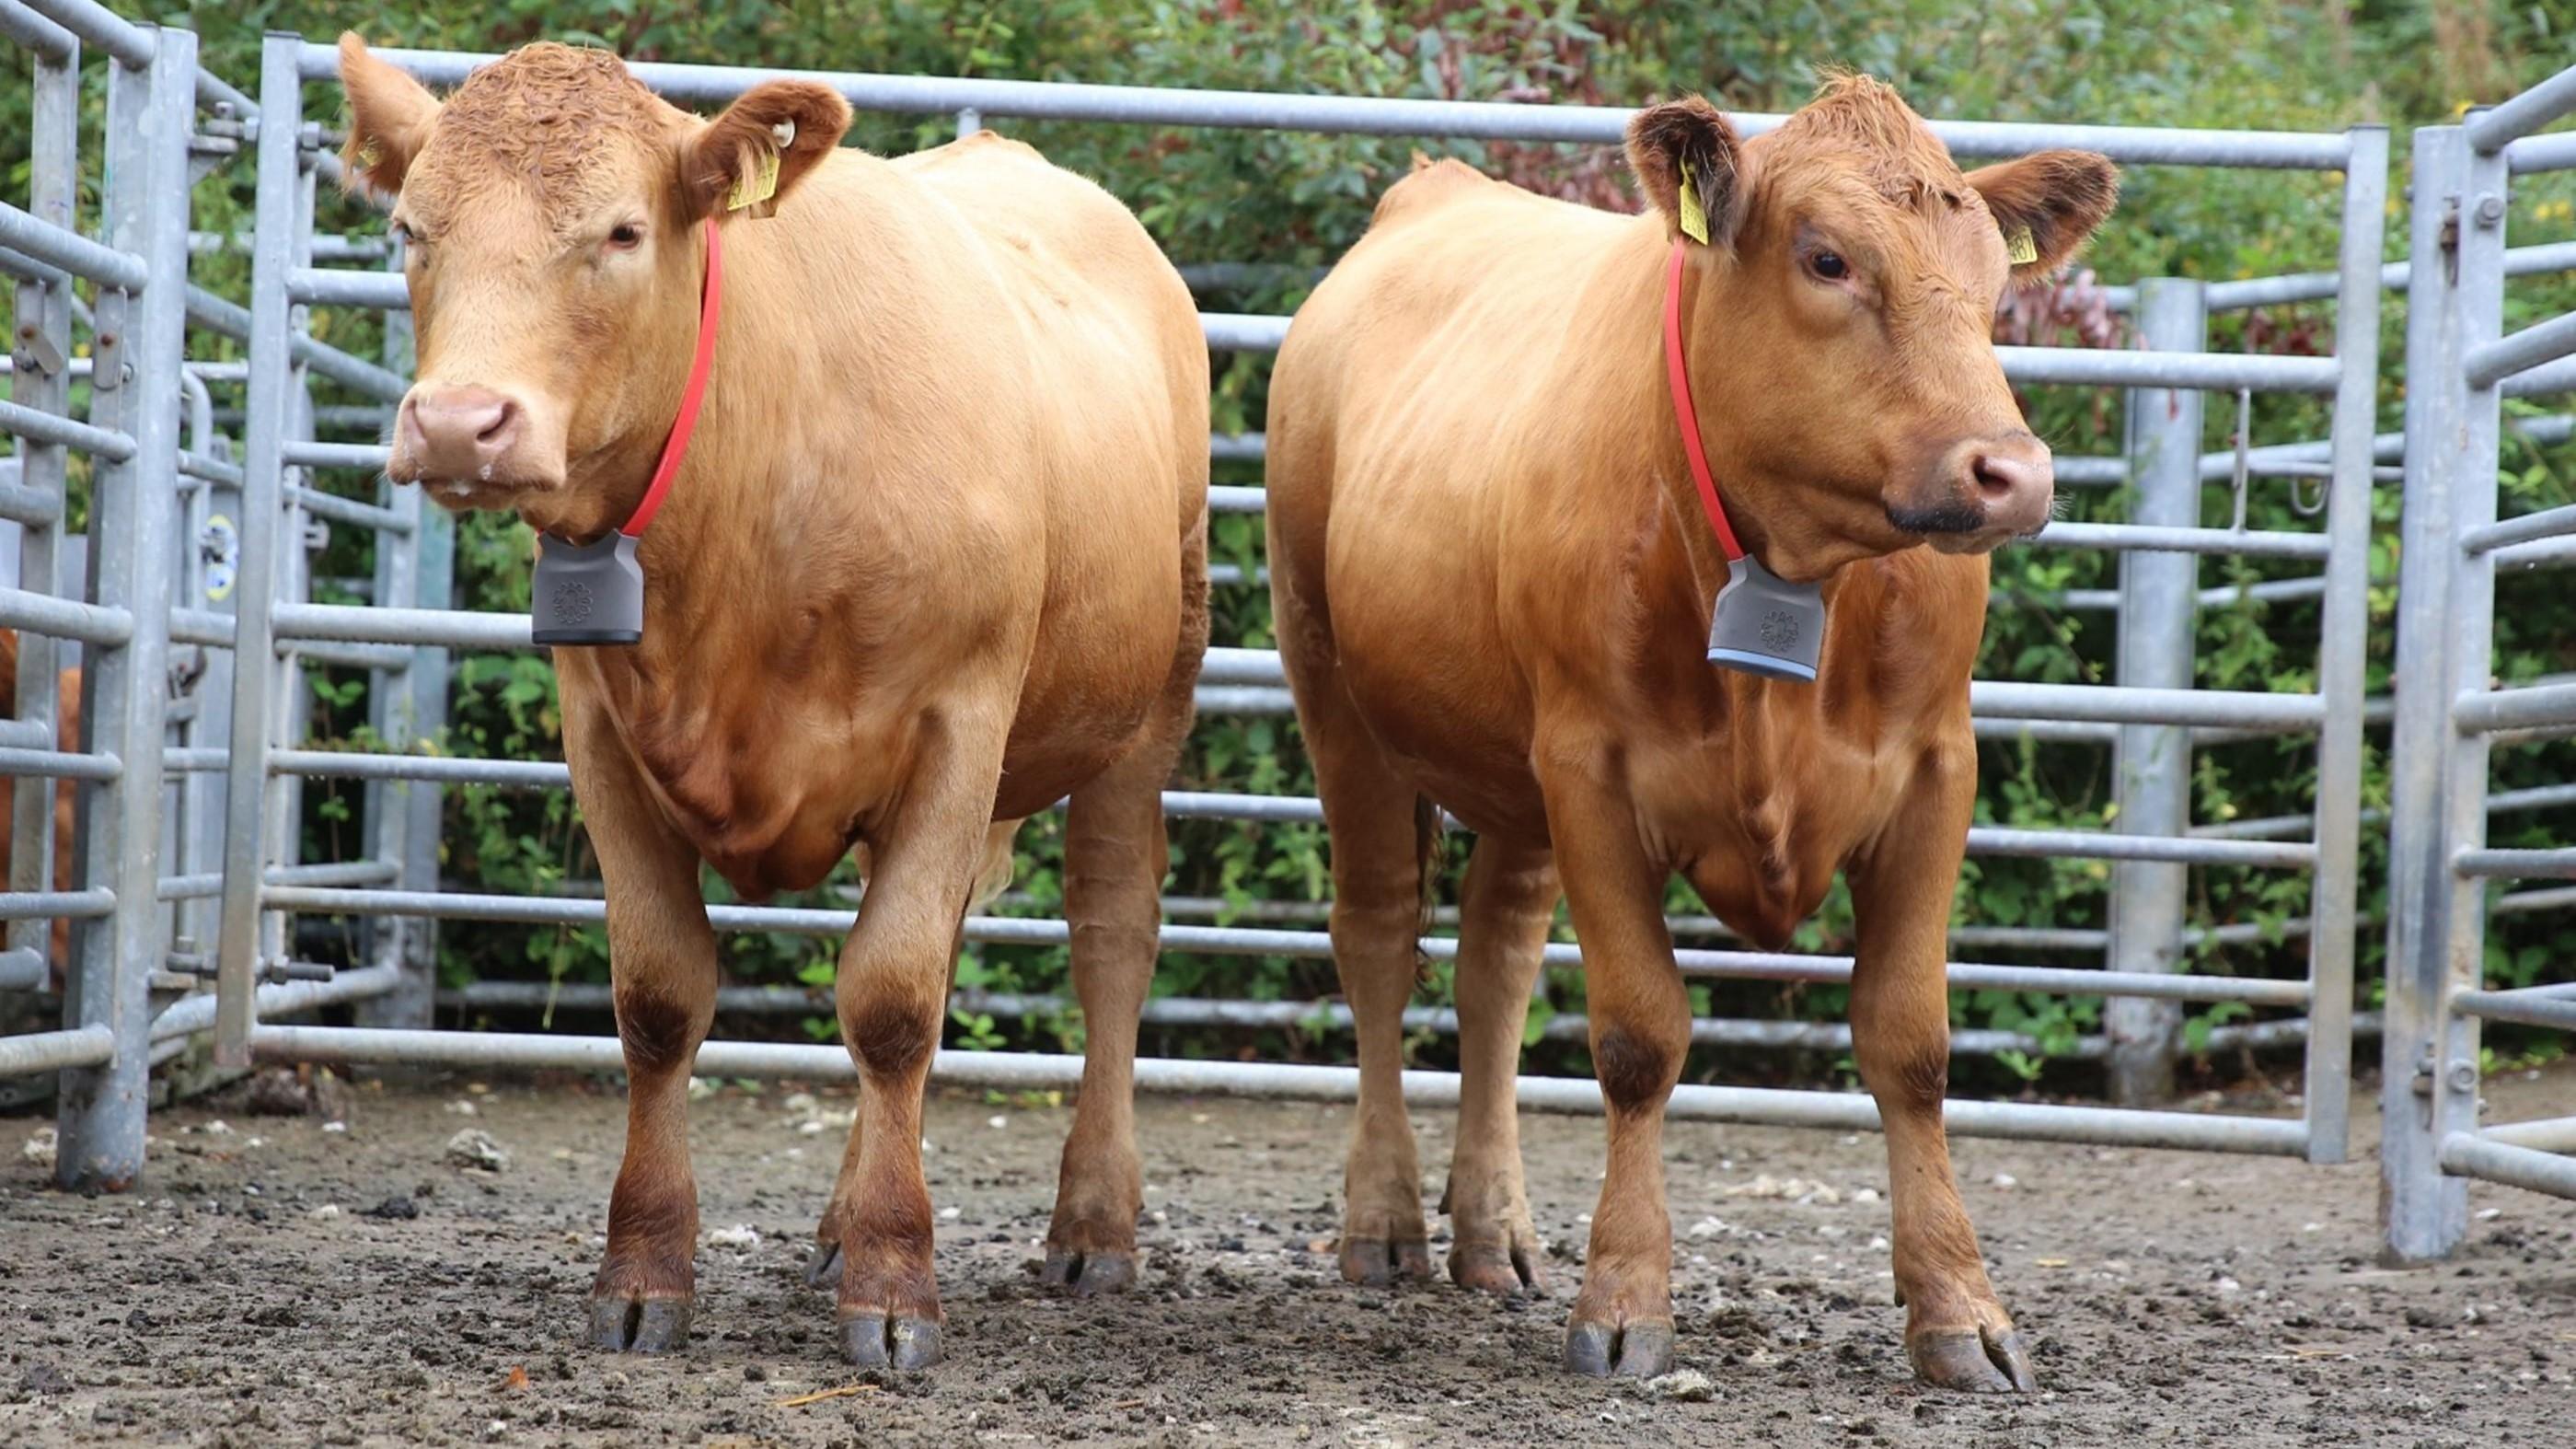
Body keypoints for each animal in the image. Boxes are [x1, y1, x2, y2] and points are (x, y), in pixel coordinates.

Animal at [337, 36, 1210, 1361]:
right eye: (408, 230)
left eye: (622, 230)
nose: (457, 424)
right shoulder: (601, 736)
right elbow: (661, 997)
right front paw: (645, 1270)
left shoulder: (959, 724)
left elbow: (892, 1001)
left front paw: (896, 1285)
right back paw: (846, 1219)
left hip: (1142, 711)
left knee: (1110, 938)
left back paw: (1090, 1225)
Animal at [1262, 78, 2112, 1392]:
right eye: (1828, 258)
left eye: (1990, 279)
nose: (2010, 473)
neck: (1794, 576)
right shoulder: (1595, 774)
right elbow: (1639, 1038)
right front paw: (1624, 1300)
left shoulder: (1936, 771)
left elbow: (1910, 1042)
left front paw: (1961, 1312)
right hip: (1334, 692)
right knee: (1378, 938)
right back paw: (1386, 1222)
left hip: (1515, 779)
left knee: (1496, 962)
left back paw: (1493, 1231)